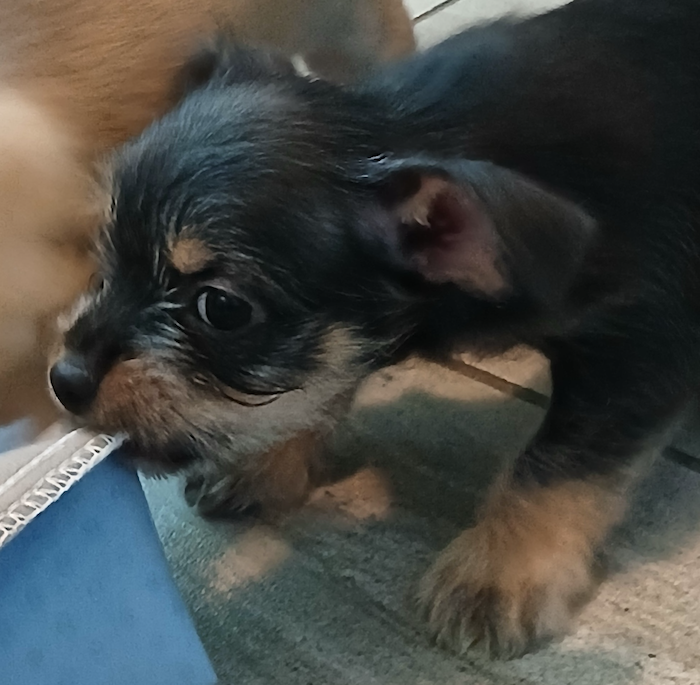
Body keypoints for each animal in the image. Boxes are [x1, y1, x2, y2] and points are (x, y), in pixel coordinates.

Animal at [52, 0, 700, 660]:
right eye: (104, 259)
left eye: (222, 309)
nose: (64, 378)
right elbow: (329, 376)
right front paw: (265, 461)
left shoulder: (644, 346)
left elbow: (557, 461)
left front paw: (497, 573)